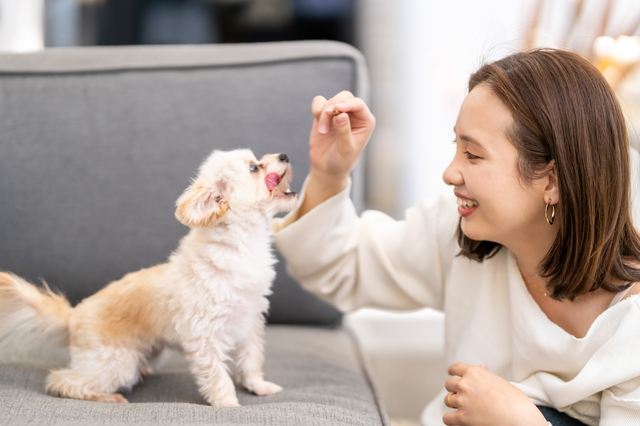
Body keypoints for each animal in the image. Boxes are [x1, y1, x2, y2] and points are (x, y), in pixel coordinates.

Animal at [0, 150, 298, 406]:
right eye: (254, 167)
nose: (285, 155)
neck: (242, 247)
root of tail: (72, 316)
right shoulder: (205, 338)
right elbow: (217, 377)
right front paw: (229, 405)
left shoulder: (249, 324)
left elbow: (251, 361)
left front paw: (258, 386)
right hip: (117, 363)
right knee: (63, 381)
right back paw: (107, 397)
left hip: (150, 352)